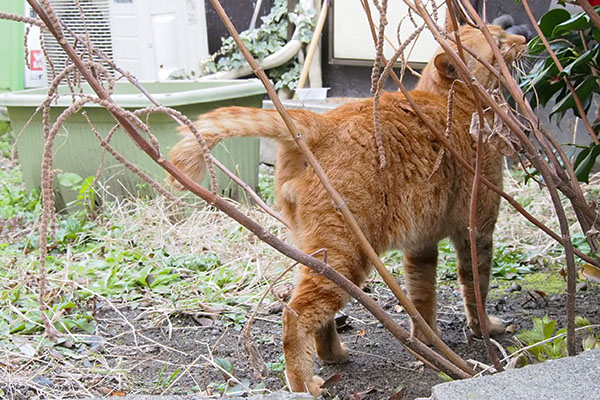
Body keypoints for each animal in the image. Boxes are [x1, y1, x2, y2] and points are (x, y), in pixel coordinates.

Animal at [168, 25, 524, 396]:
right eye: (499, 44)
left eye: (502, 34)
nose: (523, 40)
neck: (450, 103)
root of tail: (317, 123)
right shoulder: (476, 231)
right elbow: (476, 288)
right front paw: (485, 329)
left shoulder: (421, 245)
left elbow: (422, 298)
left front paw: (428, 343)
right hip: (346, 255)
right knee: (295, 315)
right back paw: (304, 385)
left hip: (319, 254)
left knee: (317, 316)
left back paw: (333, 355)